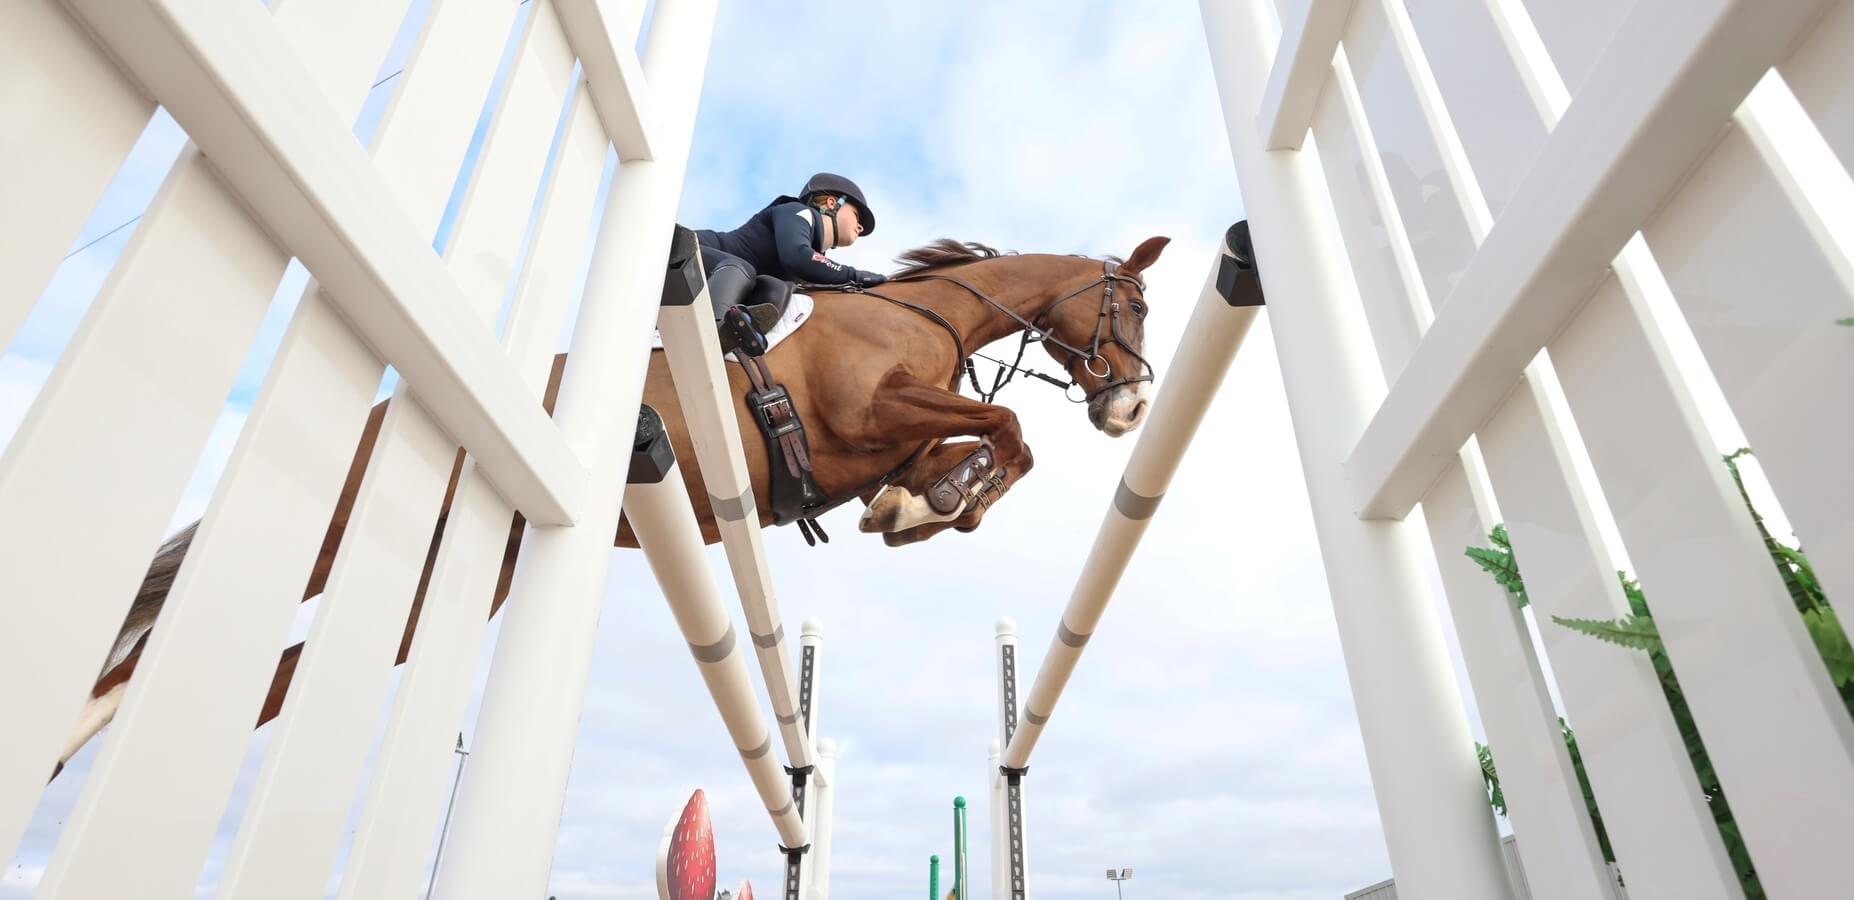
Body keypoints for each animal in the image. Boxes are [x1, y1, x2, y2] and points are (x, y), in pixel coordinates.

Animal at [57, 234, 1164, 775]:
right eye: (1138, 304)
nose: (1133, 404)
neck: (923, 314)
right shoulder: (863, 416)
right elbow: (1006, 428)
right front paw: (941, 502)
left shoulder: (876, 440)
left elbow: (979, 445)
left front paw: (924, 505)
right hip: (341, 528)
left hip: (454, 572)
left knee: (266, 672)